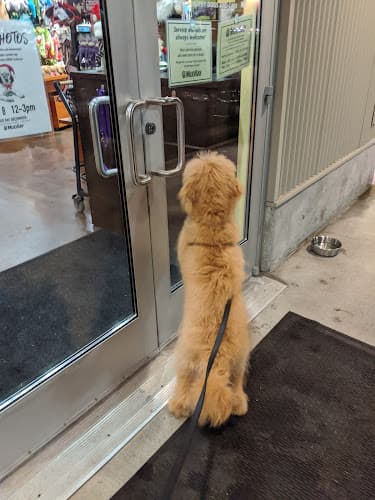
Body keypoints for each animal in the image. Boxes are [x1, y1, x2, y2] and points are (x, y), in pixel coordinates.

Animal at [169, 151, 251, 426]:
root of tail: (216, 361)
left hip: (184, 355)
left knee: (184, 384)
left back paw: (177, 405)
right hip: (240, 360)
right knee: (236, 385)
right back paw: (239, 404)